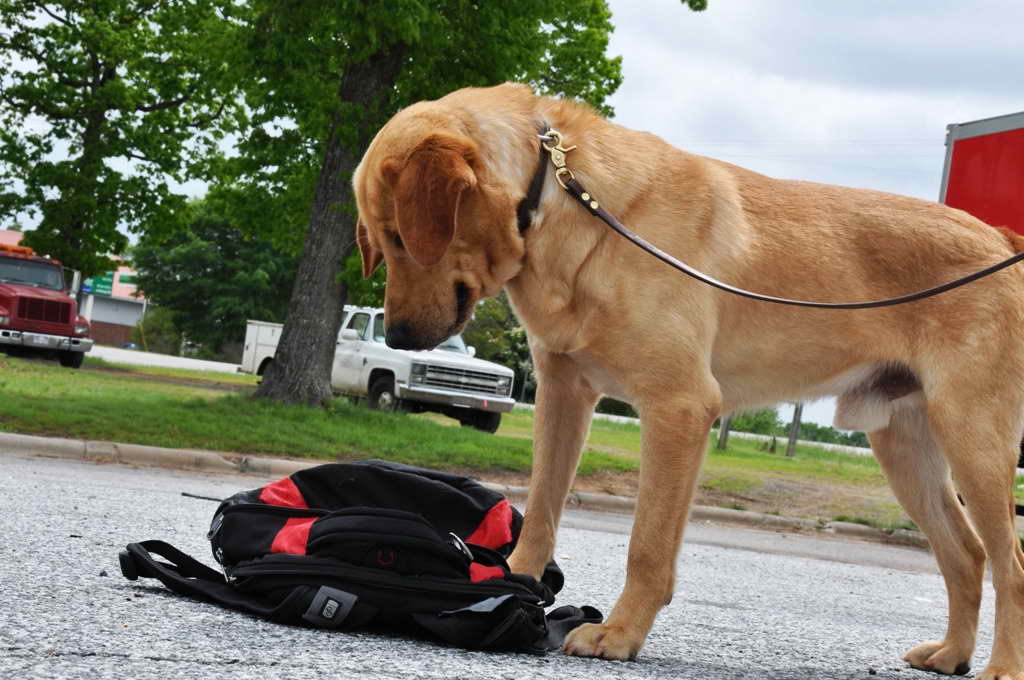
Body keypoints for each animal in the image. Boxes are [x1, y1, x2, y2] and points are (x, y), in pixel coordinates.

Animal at [352, 82, 1024, 675]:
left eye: (402, 238)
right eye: (382, 242)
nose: (398, 339)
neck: (564, 198)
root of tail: (999, 239)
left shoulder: (678, 407)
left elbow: (648, 545)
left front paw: (620, 634)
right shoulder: (564, 394)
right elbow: (541, 513)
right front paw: (515, 585)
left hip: (974, 441)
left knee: (1009, 565)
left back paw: (1000, 668)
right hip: (904, 447)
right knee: (966, 557)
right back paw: (952, 655)